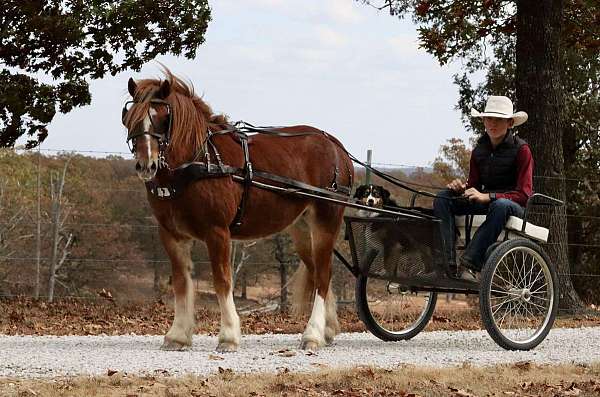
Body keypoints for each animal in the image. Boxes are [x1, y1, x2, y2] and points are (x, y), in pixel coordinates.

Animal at [124, 71, 354, 350]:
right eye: (130, 117)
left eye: (162, 118)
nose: (146, 165)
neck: (197, 163)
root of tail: (337, 147)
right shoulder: (171, 234)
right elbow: (180, 282)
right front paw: (177, 335)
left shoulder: (217, 231)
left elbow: (222, 281)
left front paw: (228, 335)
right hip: (302, 229)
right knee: (319, 271)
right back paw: (327, 330)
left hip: (326, 221)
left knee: (322, 275)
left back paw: (312, 334)